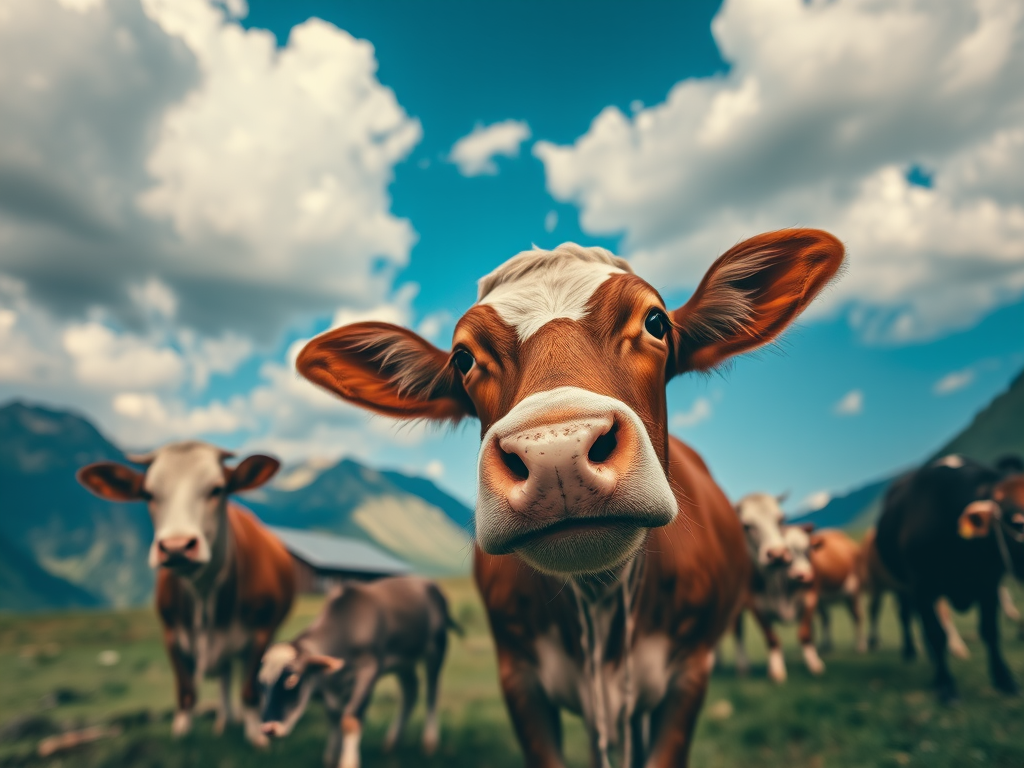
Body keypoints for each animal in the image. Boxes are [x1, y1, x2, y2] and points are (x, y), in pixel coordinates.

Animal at [77, 441, 296, 746]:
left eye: (217, 489)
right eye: (148, 493)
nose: (177, 546)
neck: (204, 593)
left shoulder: (262, 632)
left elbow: (249, 688)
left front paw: (256, 736)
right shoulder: (171, 633)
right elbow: (186, 690)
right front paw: (181, 734)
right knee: (225, 675)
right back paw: (224, 721)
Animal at [259, 576, 458, 768]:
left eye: (292, 679)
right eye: (262, 684)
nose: (268, 728)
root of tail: (428, 583)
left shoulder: (369, 671)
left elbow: (349, 719)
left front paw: (347, 762)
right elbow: (333, 718)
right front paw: (331, 758)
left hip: (436, 647)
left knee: (432, 691)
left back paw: (430, 742)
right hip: (404, 663)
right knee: (411, 691)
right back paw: (392, 743)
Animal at [296, 229, 844, 767]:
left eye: (656, 321)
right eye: (464, 358)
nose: (555, 453)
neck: (599, 594)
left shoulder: (689, 672)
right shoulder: (518, 678)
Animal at [876, 453, 1024, 702]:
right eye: (1017, 522)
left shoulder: (989, 583)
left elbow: (990, 631)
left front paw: (1003, 679)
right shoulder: (922, 586)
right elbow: (937, 634)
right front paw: (946, 685)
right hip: (903, 586)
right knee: (907, 616)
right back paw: (911, 652)